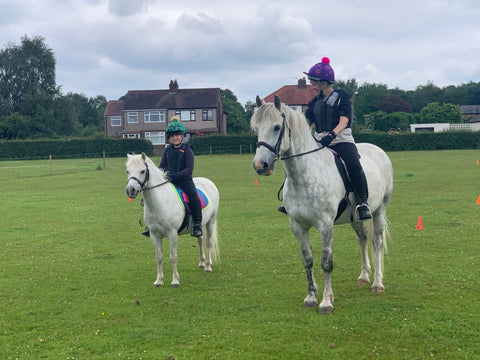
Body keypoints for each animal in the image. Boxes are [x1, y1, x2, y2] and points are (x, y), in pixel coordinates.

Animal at [124, 153, 220, 286]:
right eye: (128, 171)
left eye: (142, 171)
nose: (130, 190)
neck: (159, 202)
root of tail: (209, 181)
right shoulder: (154, 235)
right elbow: (159, 257)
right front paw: (159, 280)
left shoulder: (172, 234)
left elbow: (173, 257)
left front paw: (175, 281)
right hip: (199, 225)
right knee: (200, 240)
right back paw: (201, 263)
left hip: (211, 221)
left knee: (208, 242)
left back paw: (208, 266)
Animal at [251, 95, 394, 312]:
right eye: (256, 128)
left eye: (276, 127)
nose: (260, 165)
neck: (306, 175)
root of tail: (377, 149)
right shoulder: (298, 226)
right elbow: (308, 261)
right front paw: (310, 297)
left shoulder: (325, 225)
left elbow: (326, 262)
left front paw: (326, 302)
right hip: (355, 216)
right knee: (362, 239)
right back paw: (363, 276)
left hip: (380, 210)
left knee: (376, 242)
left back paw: (377, 283)